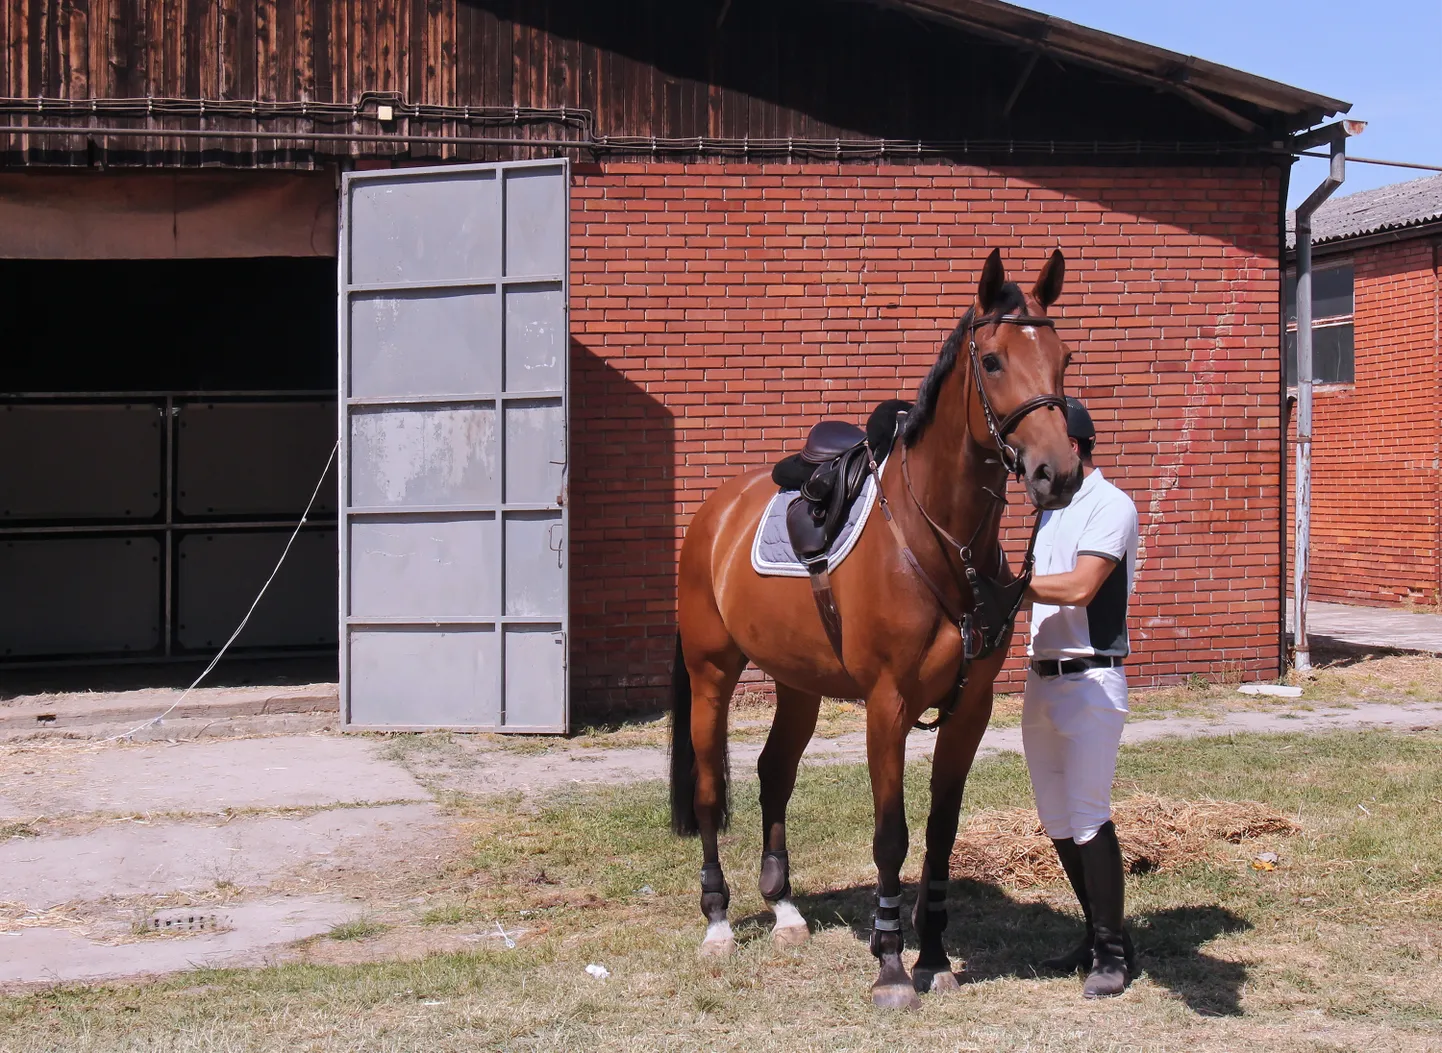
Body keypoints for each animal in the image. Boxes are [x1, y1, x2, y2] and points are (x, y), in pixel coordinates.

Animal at [663, 248, 1084, 1009]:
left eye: (1063, 357)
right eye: (993, 360)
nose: (1056, 473)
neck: (936, 539)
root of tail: (713, 514)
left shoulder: (971, 709)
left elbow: (941, 832)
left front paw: (934, 956)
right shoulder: (887, 705)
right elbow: (892, 835)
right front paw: (890, 965)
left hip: (799, 683)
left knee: (774, 772)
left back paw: (786, 911)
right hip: (712, 674)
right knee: (710, 787)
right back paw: (717, 922)